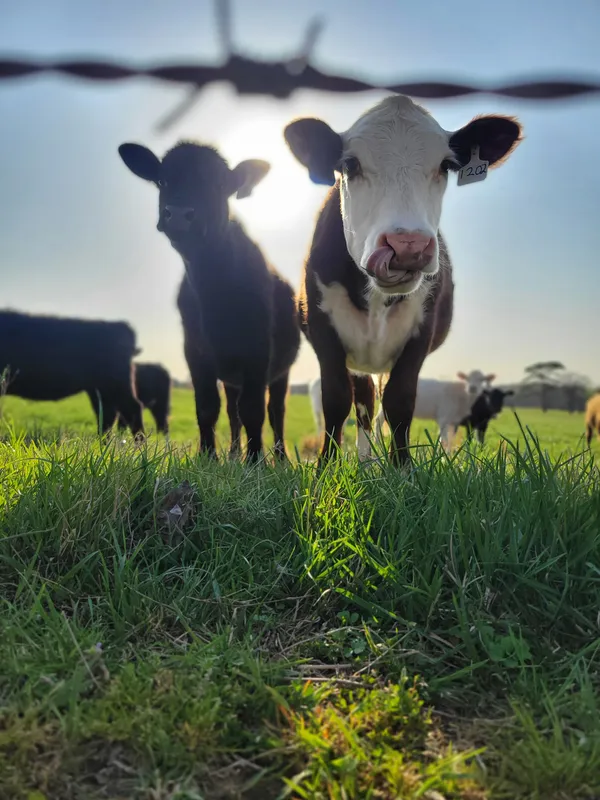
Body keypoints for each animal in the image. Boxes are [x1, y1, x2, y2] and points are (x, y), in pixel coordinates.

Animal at [118, 140, 301, 462]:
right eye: (163, 180)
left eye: (219, 185)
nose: (179, 214)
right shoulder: (196, 350)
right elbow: (207, 407)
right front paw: (208, 457)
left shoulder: (258, 351)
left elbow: (254, 410)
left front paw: (255, 462)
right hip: (230, 376)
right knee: (232, 411)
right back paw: (233, 454)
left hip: (281, 370)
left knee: (276, 411)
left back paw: (279, 457)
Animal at [284, 94, 522, 464]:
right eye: (350, 164)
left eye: (446, 165)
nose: (408, 246)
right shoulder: (323, 329)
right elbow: (336, 399)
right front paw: (326, 466)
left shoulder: (421, 331)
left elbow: (400, 400)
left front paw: (401, 467)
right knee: (365, 402)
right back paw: (365, 460)